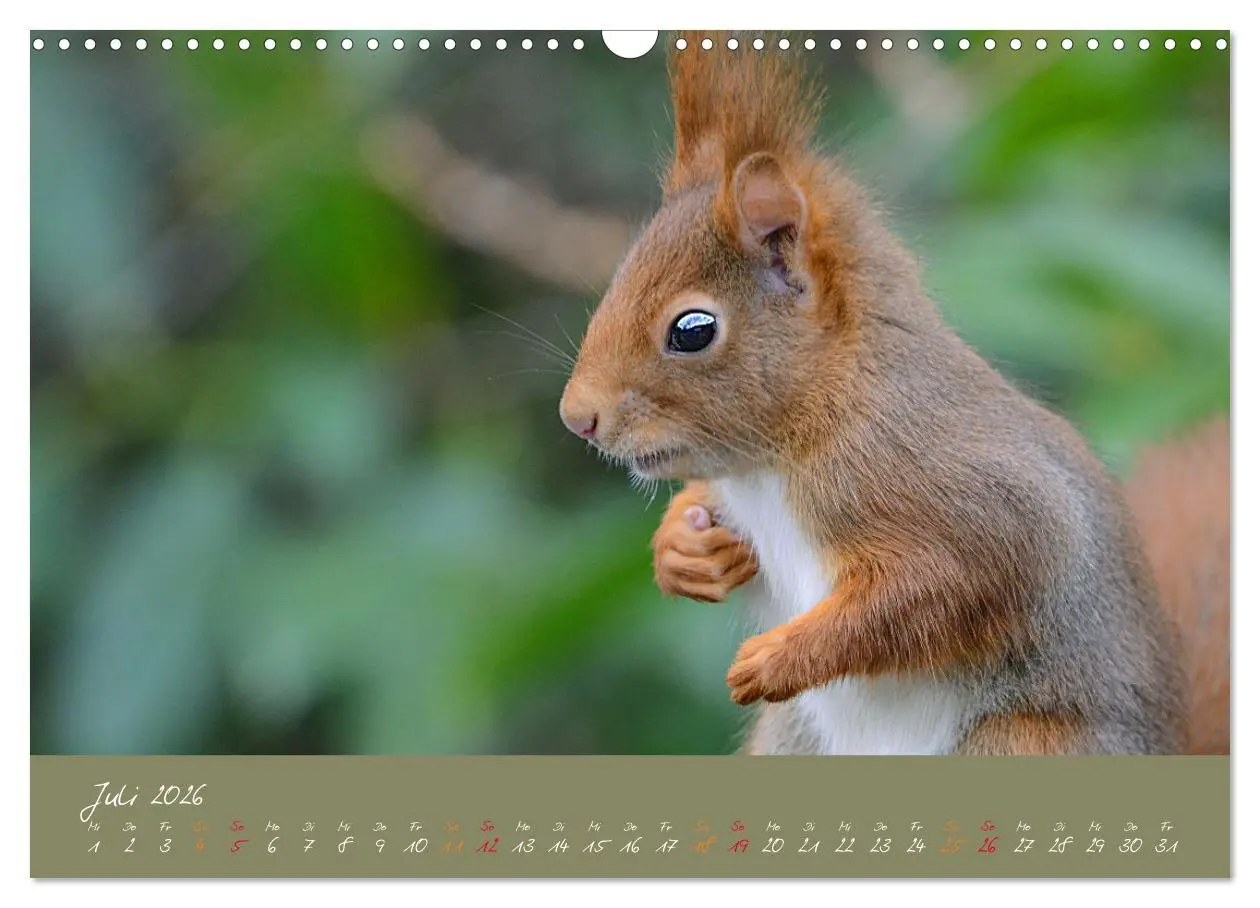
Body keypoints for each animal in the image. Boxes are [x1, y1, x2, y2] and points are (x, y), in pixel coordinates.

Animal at [558, 36, 1230, 755]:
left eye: (692, 331)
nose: (578, 418)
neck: (778, 459)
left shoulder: (961, 492)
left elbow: (941, 587)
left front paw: (781, 656)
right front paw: (684, 552)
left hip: (1021, 742)